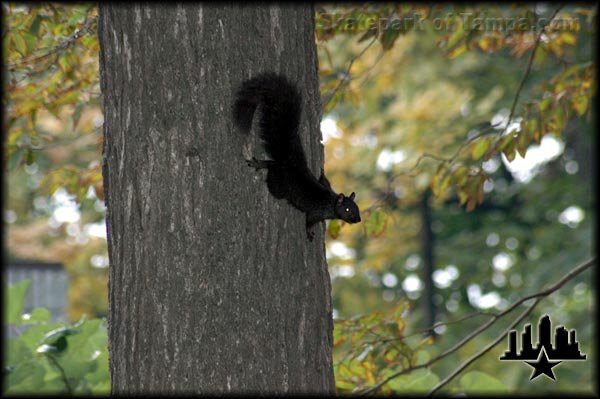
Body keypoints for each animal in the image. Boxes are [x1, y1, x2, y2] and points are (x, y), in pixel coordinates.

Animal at [234, 72, 360, 241]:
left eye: (357, 208)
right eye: (347, 210)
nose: (358, 219)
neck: (330, 202)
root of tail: (288, 162)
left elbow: (324, 180)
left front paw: (322, 172)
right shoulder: (316, 212)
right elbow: (309, 221)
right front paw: (310, 232)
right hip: (278, 186)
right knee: (272, 169)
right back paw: (260, 164)